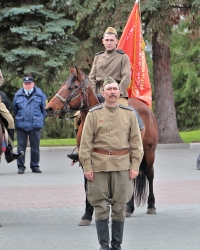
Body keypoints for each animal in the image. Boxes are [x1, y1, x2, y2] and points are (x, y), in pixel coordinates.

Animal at [45, 66, 158, 225]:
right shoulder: (85, 160)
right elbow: (88, 184)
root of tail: (146, 108)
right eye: (62, 85)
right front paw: (87, 214)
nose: (48, 108)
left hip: (149, 152)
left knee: (150, 174)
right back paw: (128, 208)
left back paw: (151, 205)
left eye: (71, 87)